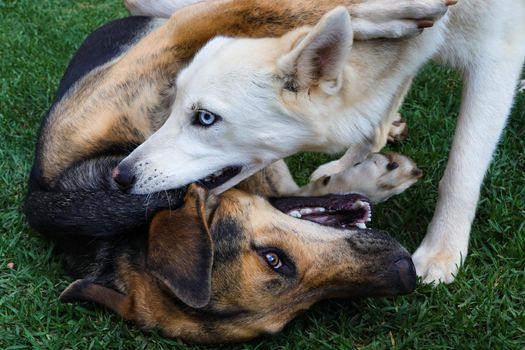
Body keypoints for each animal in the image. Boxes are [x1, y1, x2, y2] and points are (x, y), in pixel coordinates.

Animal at [118, 0, 524, 284]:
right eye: (173, 104)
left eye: (205, 118)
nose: (120, 176)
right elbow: (374, 123)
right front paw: (351, 165)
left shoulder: (495, 58)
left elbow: (460, 174)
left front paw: (443, 252)